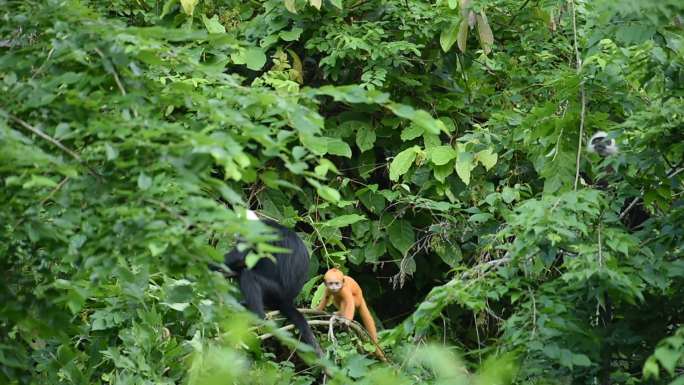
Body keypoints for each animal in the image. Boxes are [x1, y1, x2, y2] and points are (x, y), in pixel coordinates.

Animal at [222, 213, 324, 354]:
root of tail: (287, 300)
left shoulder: (260, 232)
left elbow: (240, 256)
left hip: (276, 291)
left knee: (248, 275)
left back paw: (258, 316)